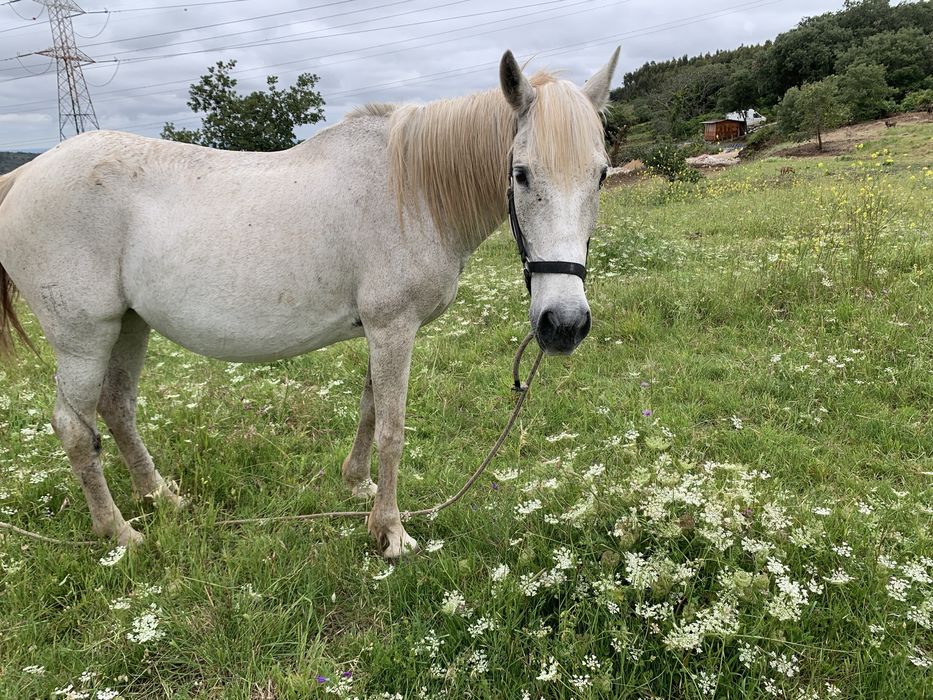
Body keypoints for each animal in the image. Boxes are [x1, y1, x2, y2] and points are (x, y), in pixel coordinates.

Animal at [0, 49, 619, 558]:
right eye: (522, 174)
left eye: (601, 174)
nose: (563, 324)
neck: (411, 190)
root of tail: (25, 173)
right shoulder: (394, 328)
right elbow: (392, 428)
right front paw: (391, 532)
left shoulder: (381, 329)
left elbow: (369, 410)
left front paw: (358, 486)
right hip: (83, 338)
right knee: (74, 427)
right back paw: (119, 533)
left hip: (130, 325)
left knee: (117, 407)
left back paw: (162, 498)